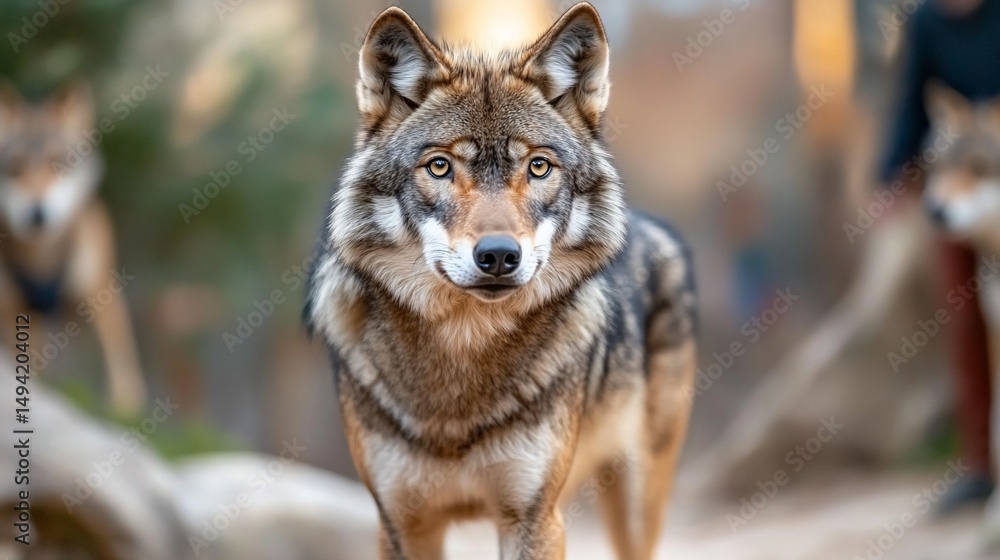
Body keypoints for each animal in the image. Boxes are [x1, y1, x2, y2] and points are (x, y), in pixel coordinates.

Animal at [0, 82, 146, 415]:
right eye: (15, 169)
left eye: (58, 164)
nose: (37, 214)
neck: (42, 261)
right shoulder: (13, 309)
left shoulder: (102, 296)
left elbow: (123, 370)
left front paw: (126, 411)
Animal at [305, 4, 698, 558]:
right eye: (440, 166)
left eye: (538, 167)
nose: (498, 256)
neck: (462, 357)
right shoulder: (401, 523)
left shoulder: (532, 518)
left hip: (637, 502)